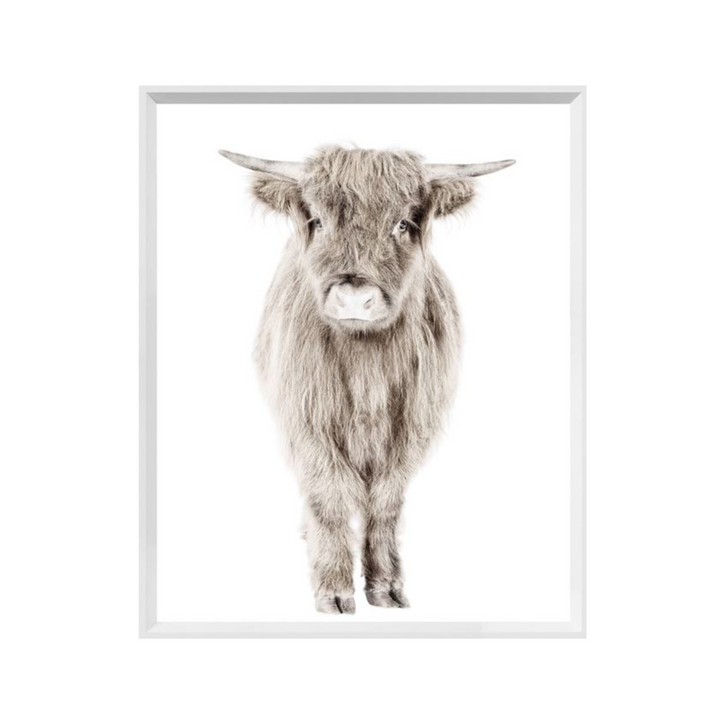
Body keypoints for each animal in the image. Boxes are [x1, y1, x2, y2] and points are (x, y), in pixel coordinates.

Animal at [220, 145, 514, 614]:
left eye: (403, 223)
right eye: (318, 221)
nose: (354, 298)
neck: (365, 365)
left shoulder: (411, 428)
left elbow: (386, 503)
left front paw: (387, 587)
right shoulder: (308, 422)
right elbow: (329, 496)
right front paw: (334, 590)